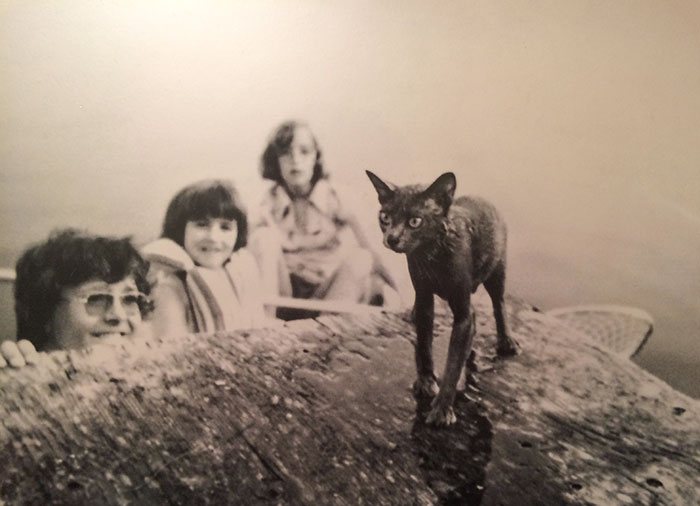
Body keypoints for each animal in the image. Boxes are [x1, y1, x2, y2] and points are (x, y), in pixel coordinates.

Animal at [366, 171, 520, 426]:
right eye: (385, 217)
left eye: (415, 221)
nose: (392, 238)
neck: (430, 257)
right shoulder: (424, 297)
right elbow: (424, 345)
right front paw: (427, 381)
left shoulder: (463, 307)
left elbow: (453, 362)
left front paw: (441, 409)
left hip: (497, 270)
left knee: (499, 303)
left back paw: (506, 341)